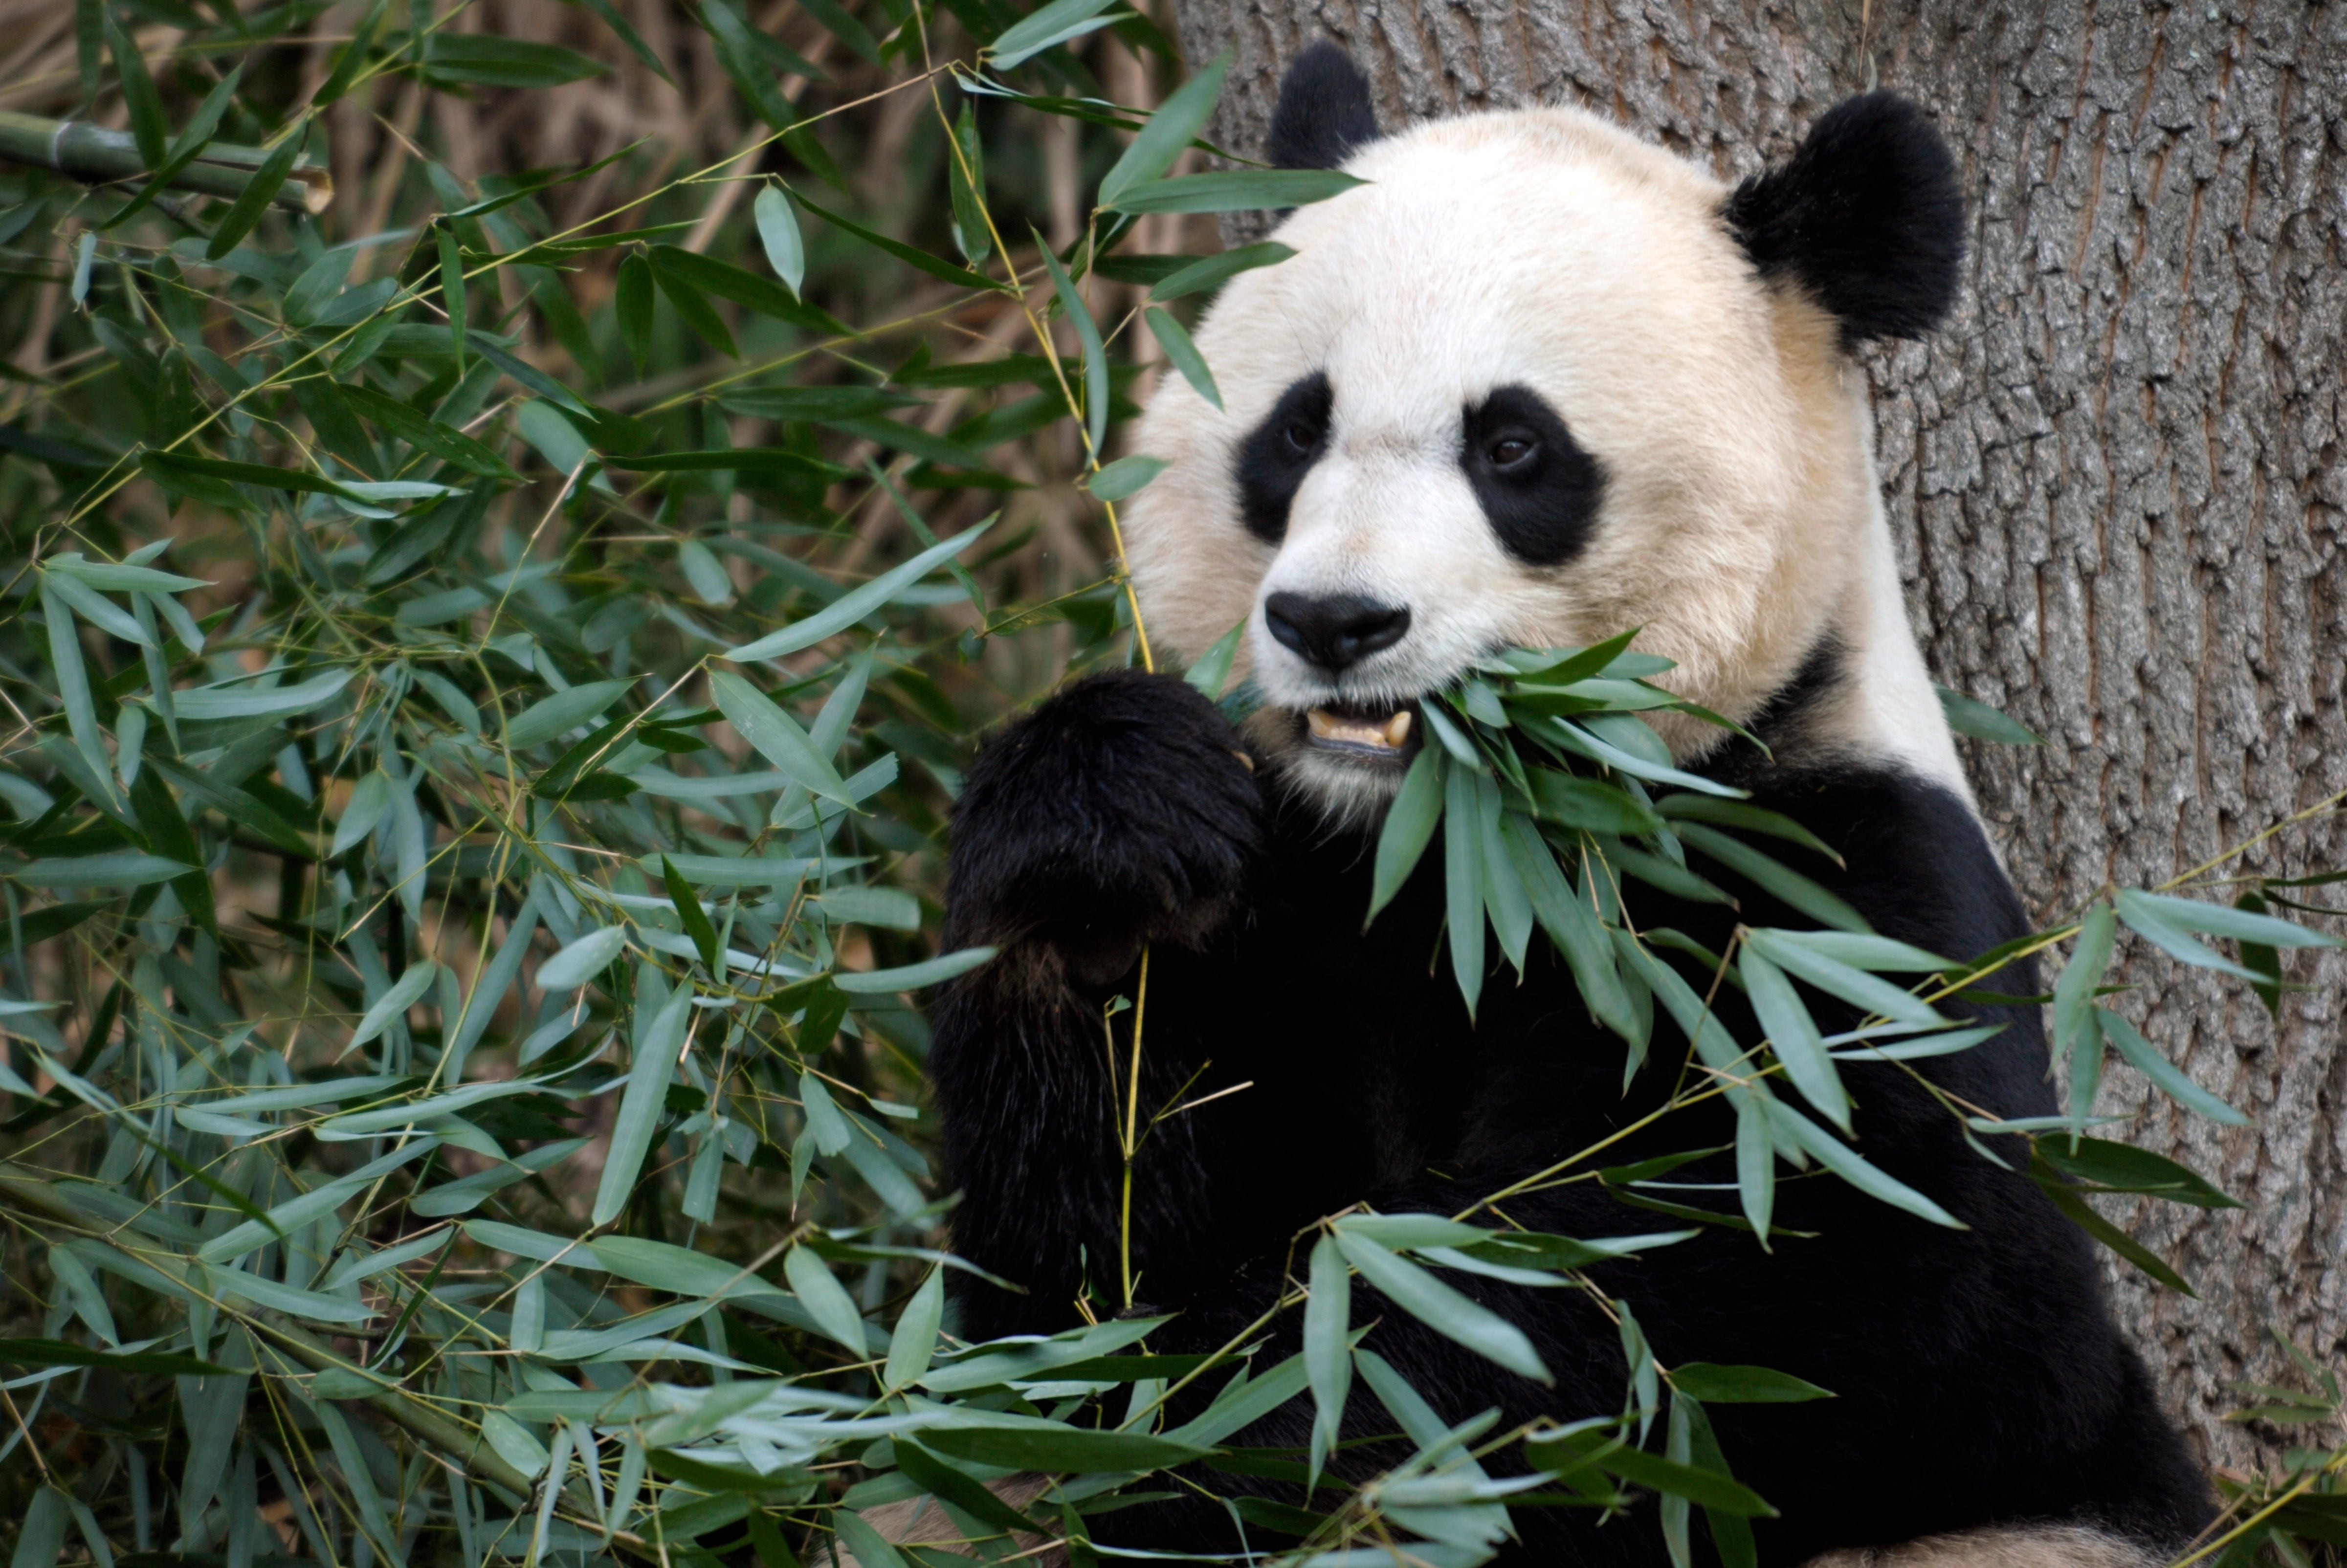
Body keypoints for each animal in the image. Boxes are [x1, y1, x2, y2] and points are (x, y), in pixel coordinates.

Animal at [920, 46, 2215, 1568]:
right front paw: (1109, 843)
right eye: (1296, 427)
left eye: (1513, 446)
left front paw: (1266, 1410)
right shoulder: (1295, 895)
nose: (1334, 621)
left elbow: (1782, 1305)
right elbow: (1073, 1260)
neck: (1447, 847)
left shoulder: (1827, 914)